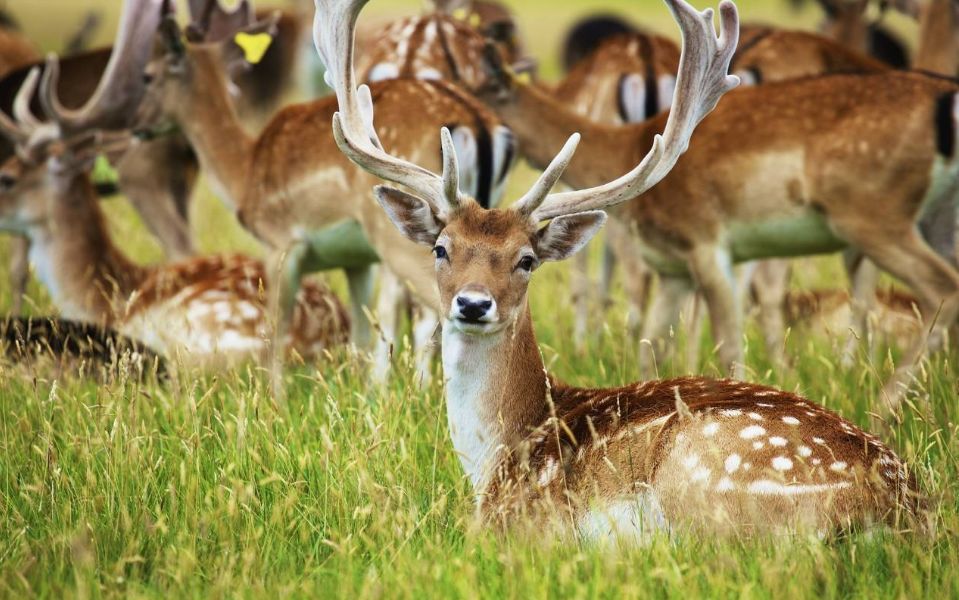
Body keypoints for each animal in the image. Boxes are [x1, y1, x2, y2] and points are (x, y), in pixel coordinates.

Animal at [318, 0, 928, 540]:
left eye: (526, 260)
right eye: (442, 248)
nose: (472, 303)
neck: (497, 452)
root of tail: (898, 508)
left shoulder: (514, 523)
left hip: (705, 479)